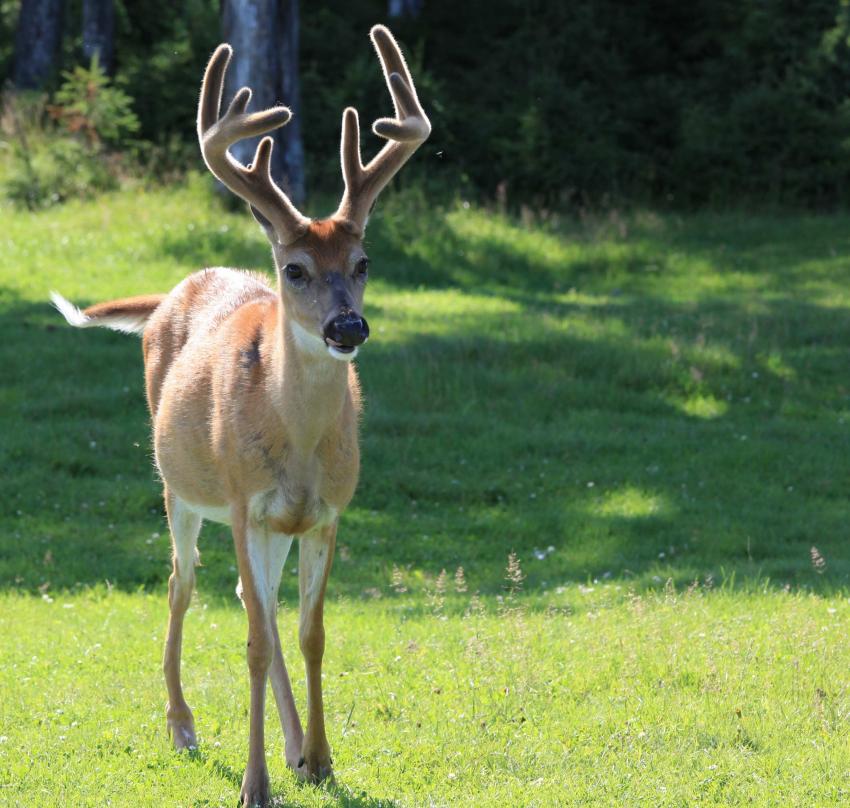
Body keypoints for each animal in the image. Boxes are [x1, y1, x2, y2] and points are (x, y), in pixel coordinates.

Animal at [49, 25, 428, 808]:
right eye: (295, 269)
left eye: (365, 261)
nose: (348, 327)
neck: (300, 445)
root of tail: (173, 290)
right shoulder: (243, 500)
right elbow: (252, 642)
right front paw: (255, 784)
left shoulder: (326, 512)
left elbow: (310, 632)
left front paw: (320, 760)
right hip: (183, 489)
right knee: (182, 584)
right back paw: (183, 724)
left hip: (265, 523)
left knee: (260, 605)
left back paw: (292, 747)